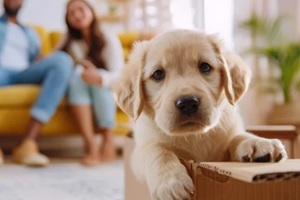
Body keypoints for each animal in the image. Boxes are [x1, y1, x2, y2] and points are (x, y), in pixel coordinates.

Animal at [113, 29, 288, 200]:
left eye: (205, 67)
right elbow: (157, 150)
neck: (193, 136)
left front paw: (257, 142)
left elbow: (237, 136)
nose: (188, 103)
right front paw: (171, 184)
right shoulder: (140, 149)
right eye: (158, 74)